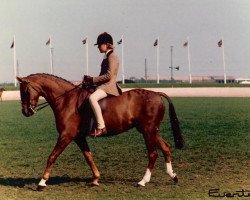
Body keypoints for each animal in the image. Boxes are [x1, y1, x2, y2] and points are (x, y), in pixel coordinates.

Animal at [15, 73, 184, 191]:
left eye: (24, 91)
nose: (25, 112)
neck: (66, 100)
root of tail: (157, 94)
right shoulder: (78, 137)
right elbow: (88, 157)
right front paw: (96, 178)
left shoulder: (66, 136)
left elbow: (52, 156)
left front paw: (42, 183)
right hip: (151, 130)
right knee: (166, 147)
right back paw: (173, 176)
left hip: (148, 131)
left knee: (153, 153)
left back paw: (143, 181)